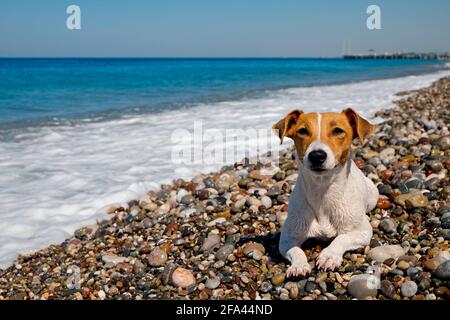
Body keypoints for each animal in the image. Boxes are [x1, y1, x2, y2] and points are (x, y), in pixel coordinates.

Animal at [272, 109, 378, 276]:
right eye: (302, 131)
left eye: (338, 131)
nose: (317, 156)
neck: (322, 192)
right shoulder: (288, 238)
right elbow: (295, 250)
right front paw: (298, 265)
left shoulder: (362, 232)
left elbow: (341, 238)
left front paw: (329, 255)